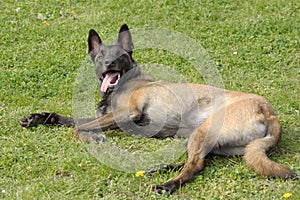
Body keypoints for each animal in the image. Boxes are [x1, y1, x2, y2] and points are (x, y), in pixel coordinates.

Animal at [19, 23, 298, 194]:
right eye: (100, 57)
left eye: (120, 56)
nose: (109, 64)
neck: (125, 82)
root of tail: (270, 114)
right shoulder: (108, 115)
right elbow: (72, 120)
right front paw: (38, 117)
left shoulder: (125, 114)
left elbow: (78, 129)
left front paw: (93, 137)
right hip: (201, 138)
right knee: (196, 160)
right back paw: (158, 168)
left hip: (203, 131)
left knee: (195, 165)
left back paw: (168, 184)